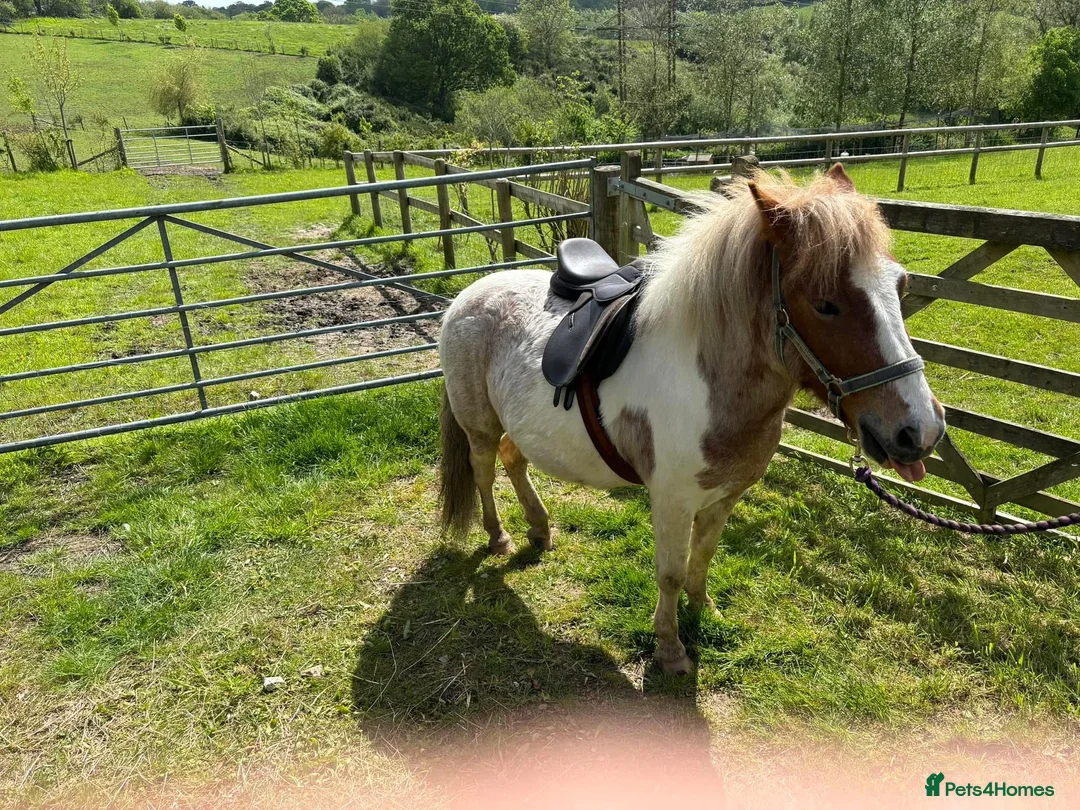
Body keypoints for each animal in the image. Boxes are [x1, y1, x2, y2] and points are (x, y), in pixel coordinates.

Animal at [437, 164, 946, 675]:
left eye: (900, 286)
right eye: (824, 303)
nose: (921, 432)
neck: (710, 384)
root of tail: (468, 294)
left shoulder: (724, 497)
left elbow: (702, 558)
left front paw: (705, 610)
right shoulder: (672, 501)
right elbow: (671, 573)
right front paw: (670, 649)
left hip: (520, 428)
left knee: (514, 460)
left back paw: (539, 530)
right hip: (479, 426)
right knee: (484, 469)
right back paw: (499, 536)